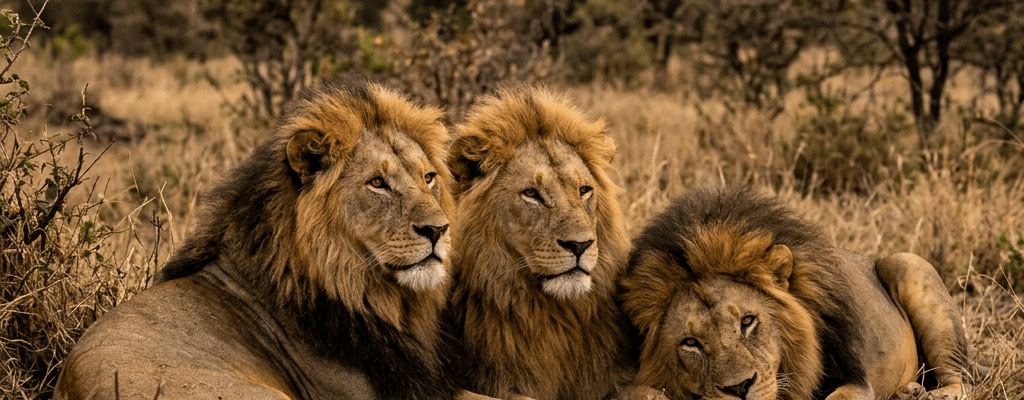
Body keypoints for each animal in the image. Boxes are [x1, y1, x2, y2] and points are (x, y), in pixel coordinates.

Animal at [619, 186, 970, 400]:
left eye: (748, 322)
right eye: (690, 343)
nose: (740, 388)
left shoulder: (856, 381)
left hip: (909, 264)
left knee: (961, 380)